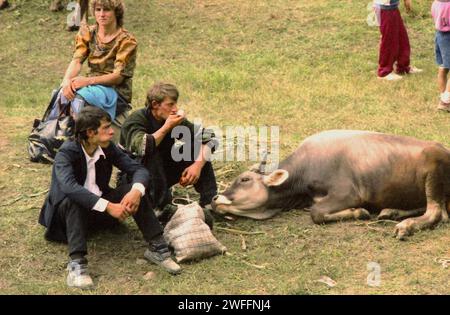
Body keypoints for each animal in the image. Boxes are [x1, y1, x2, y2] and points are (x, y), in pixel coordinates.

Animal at [212, 130, 450, 239]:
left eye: (244, 179)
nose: (215, 198)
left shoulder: (348, 193)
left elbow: (316, 213)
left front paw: (359, 212)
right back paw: (391, 212)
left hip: (433, 176)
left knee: (436, 213)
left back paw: (405, 226)